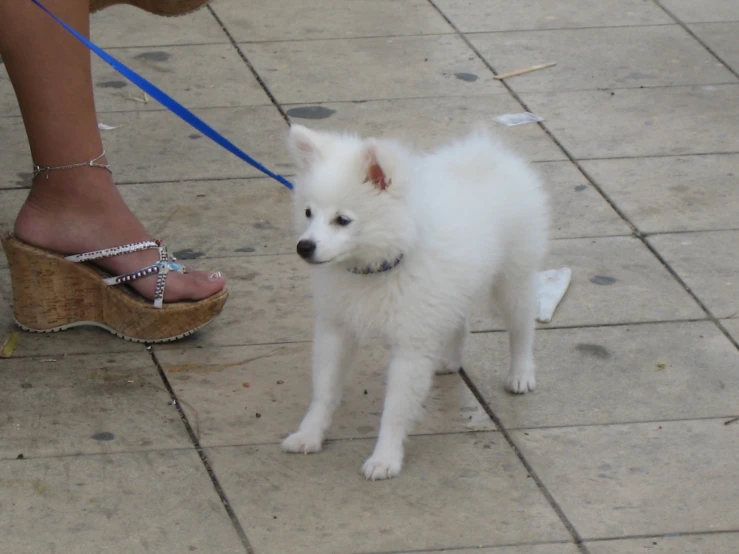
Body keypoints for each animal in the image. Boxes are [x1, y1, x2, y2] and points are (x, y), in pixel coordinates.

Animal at [282, 123, 548, 476]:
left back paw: (520, 373)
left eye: (343, 220)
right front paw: (309, 435)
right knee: (458, 320)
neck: (377, 266)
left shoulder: (410, 345)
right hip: (451, 290)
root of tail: (487, 152)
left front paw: (385, 459)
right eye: (308, 212)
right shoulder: (336, 327)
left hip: (513, 277)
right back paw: (449, 360)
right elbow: (324, 391)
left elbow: (395, 409)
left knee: (521, 325)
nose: (304, 247)